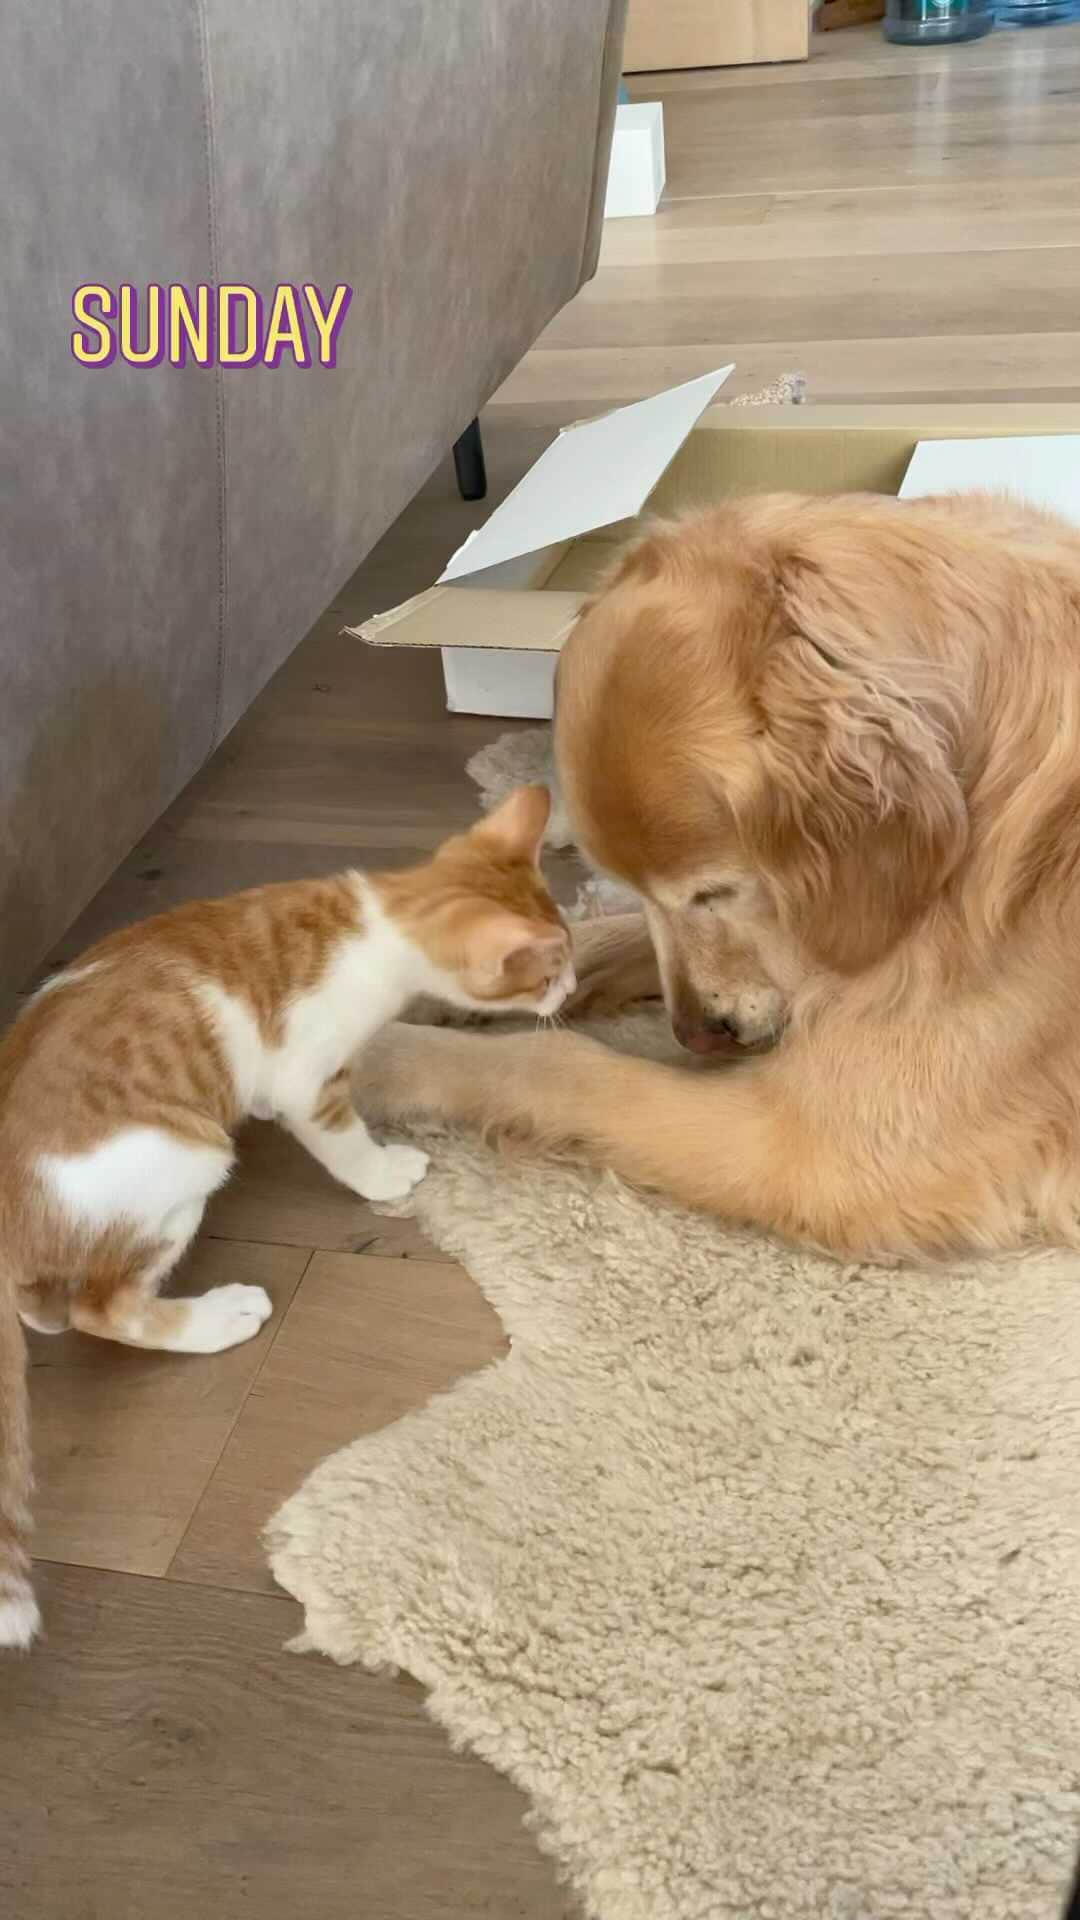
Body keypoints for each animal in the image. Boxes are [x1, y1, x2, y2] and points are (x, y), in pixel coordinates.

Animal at [0, 787, 568, 1643]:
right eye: (554, 967)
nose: (569, 990)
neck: (374, 916)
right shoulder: (309, 1078)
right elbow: (341, 1139)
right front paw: (385, 1172)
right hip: (189, 1157)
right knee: (106, 1307)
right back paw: (214, 1317)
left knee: (53, 1302)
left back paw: (44, 1312)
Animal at [355, 487, 1080, 1251]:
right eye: (647, 891)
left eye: (718, 891)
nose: (699, 1035)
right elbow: (594, 937)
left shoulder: (815, 1146)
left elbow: (558, 1062)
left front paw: (382, 1058)